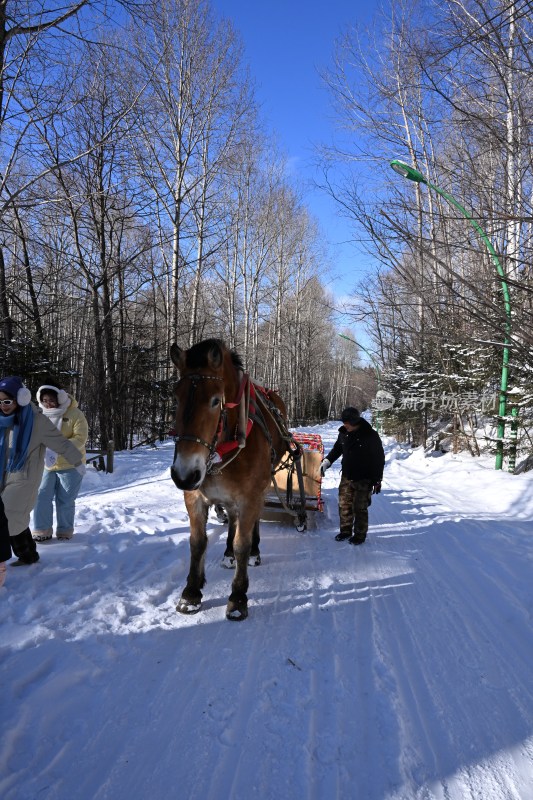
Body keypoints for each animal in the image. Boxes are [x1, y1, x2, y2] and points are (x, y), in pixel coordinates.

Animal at [170, 338, 290, 620]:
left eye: (215, 401)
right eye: (176, 397)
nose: (184, 474)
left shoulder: (249, 496)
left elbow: (242, 544)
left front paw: (238, 597)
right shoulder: (194, 496)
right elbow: (197, 543)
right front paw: (191, 592)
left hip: (262, 484)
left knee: (252, 521)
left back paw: (254, 552)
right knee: (232, 518)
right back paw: (226, 554)